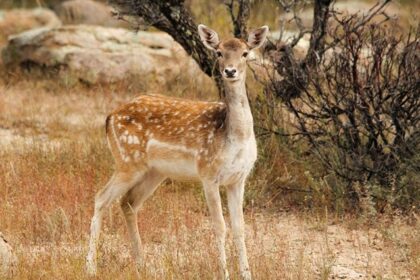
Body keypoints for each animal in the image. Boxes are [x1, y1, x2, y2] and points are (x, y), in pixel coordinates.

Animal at [86, 24, 270, 280]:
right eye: (219, 52)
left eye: (245, 53)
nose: (230, 71)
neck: (233, 137)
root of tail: (110, 117)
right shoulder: (208, 173)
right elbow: (219, 226)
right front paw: (224, 274)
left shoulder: (238, 179)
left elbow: (239, 228)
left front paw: (246, 274)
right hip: (127, 160)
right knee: (101, 198)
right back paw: (90, 267)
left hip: (154, 172)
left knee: (128, 202)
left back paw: (141, 263)